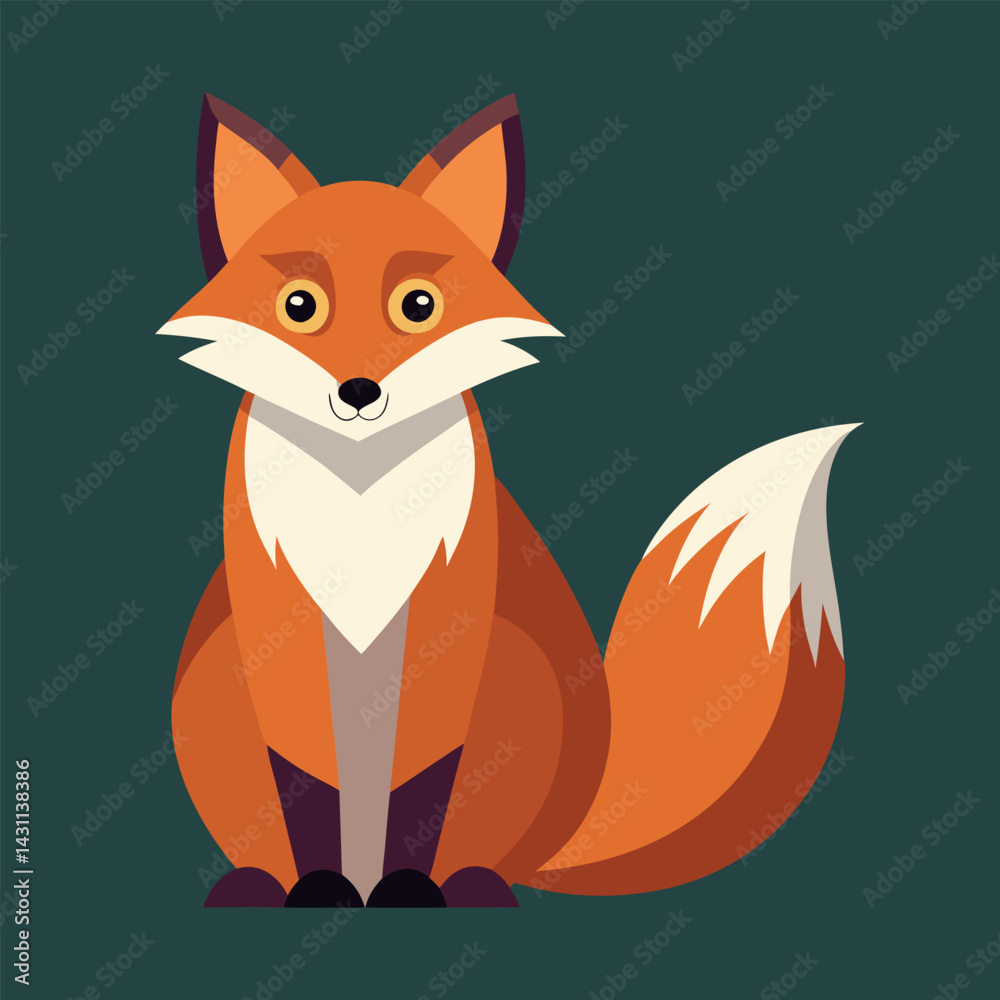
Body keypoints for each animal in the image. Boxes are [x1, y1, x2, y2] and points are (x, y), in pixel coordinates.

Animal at [161, 92, 858, 908]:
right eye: (299, 305)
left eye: (419, 305)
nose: (359, 392)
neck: (364, 497)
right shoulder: (279, 636)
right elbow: (301, 781)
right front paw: (318, 887)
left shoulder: (447, 635)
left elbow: (424, 785)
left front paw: (410, 885)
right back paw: (268, 882)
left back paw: (466, 881)